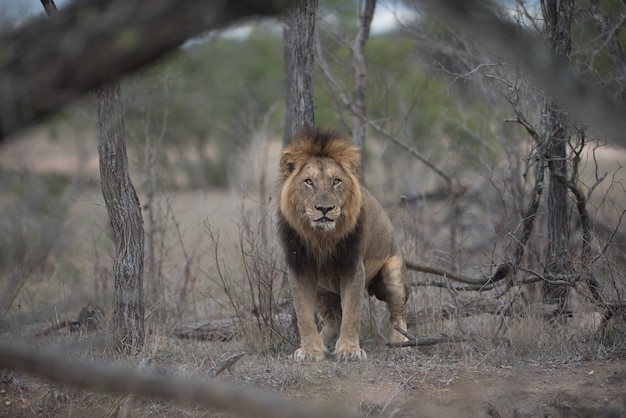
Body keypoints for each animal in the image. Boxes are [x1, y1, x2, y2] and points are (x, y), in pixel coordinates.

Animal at [276, 127, 408, 360]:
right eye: (308, 182)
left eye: (336, 181)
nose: (324, 208)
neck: (322, 238)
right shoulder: (299, 268)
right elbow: (303, 315)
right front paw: (310, 351)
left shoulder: (353, 267)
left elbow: (352, 313)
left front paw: (349, 350)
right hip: (323, 290)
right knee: (333, 318)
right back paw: (323, 342)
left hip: (393, 274)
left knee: (398, 313)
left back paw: (402, 342)